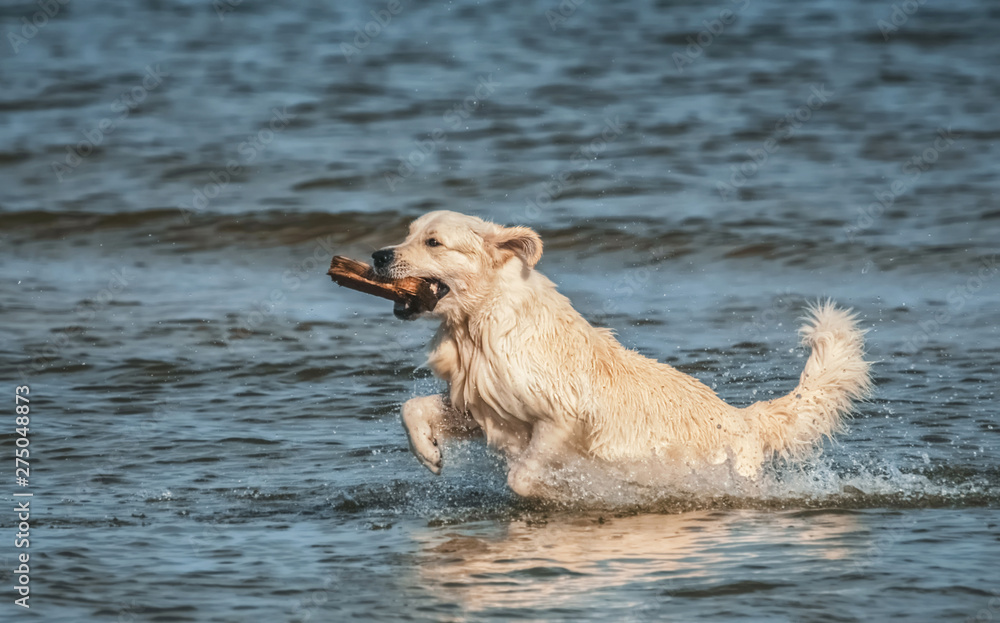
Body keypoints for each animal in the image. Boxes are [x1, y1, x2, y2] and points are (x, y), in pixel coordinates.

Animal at [372, 212, 872, 500]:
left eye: (434, 242)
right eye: (408, 234)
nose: (378, 255)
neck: (480, 323)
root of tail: (742, 416)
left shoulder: (562, 416)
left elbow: (525, 474)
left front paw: (559, 491)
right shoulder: (486, 403)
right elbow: (412, 406)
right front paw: (428, 451)